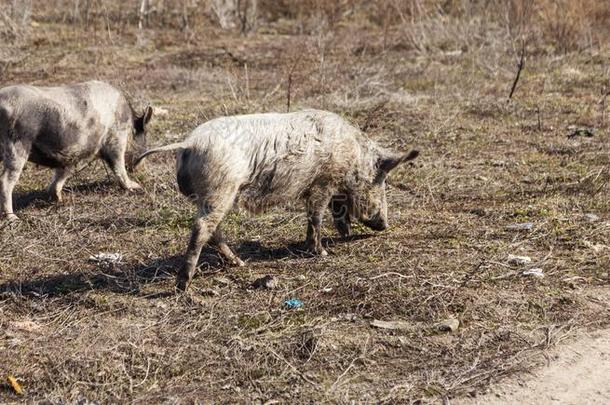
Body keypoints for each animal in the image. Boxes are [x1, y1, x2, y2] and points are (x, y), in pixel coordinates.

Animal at [0, 80, 152, 219]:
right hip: (17, 145)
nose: (140, 170)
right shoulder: (115, 140)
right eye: (143, 135)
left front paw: (59, 199)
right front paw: (136, 186)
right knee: (5, 181)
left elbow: (61, 174)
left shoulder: (70, 156)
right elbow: (118, 166)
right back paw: (13, 218)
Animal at [135, 109, 416, 288]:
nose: (385, 224)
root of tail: (189, 142)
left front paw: (343, 234)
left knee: (213, 231)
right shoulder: (322, 182)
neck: (353, 154)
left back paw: (239, 263)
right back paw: (184, 284)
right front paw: (322, 252)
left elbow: (337, 208)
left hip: (210, 195)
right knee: (203, 229)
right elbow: (316, 215)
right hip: (221, 188)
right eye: (381, 179)